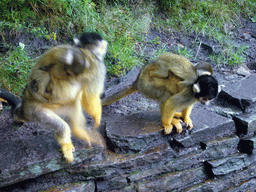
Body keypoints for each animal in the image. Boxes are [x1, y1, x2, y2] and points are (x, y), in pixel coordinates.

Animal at [1, 32, 107, 163]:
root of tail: (27, 102)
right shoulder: (98, 68)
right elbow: (90, 96)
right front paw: (97, 118)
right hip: (36, 111)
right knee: (61, 126)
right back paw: (66, 144)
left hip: (62, 105)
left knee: (73, 109)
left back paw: (80, 132)